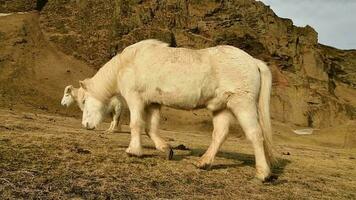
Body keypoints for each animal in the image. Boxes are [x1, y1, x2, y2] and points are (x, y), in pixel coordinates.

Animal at [80, 39, 276, 181]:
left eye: (84, 101)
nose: (85, 125)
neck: (128, 63)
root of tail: (253, 61)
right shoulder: (153, 103)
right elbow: (150, 128)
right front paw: (165, 148)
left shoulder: (135, 99)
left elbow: (136, 124)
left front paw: (133, 151)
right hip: (222, 108)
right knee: (220, 134)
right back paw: (203, 163)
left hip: (242, 105)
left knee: (255, 135)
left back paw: (262, 174)